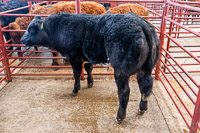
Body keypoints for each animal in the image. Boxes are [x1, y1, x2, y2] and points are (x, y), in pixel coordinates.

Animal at [21, 12, 160, 122]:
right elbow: (89, 69)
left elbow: (77, 74)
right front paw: (90, 82)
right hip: (146, 68)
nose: (22, 39)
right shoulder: (87, 56)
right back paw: (142, 108)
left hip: (121, 71)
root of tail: (142, 23)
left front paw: (75, 90)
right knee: (146, 86)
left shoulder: (74, 57)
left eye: (32, 29)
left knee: (124, 91)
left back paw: (120, 116)